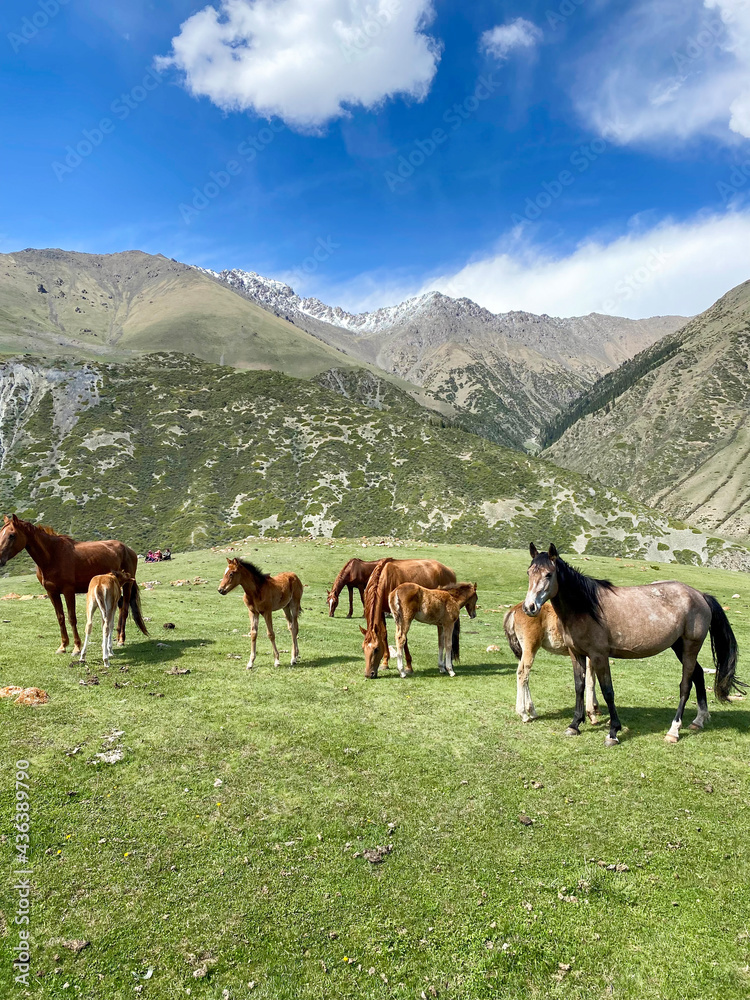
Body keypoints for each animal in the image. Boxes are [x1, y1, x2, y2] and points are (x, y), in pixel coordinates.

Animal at [0, 516, 140, 656]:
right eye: (1, 532)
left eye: (12, 535)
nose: (0, 558)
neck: (53, 555)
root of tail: (128, 549)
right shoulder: (52, 593)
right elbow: (60, 618)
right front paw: (63, 646)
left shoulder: (68, 591)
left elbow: (72, 618)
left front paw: (77, 647)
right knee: (120, 607)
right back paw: (117, 637)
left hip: (127, 585)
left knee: (125, 610)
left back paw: (121, 639)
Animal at [506, 596, 600, 724]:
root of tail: (514, 609)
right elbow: (590, 681)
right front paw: (591, 713)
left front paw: (595, 707)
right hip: (530, 647)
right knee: (523, 673)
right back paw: (523, 713)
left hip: (522, 651)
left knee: (524, 676)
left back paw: (532, 711)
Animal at [524, 544, 744, 748]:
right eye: (529, 572)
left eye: (548, 574)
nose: (530, 607)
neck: (585, 607)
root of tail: (700, 595)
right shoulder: (576, 653)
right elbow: (579, 686)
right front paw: (574, 725)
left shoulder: (599, 656)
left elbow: (608, 691)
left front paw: (613, 732)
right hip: (679, 647)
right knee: (698, 674)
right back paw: (699, 720)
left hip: (691, 646)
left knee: (685, 685)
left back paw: (673, 731)